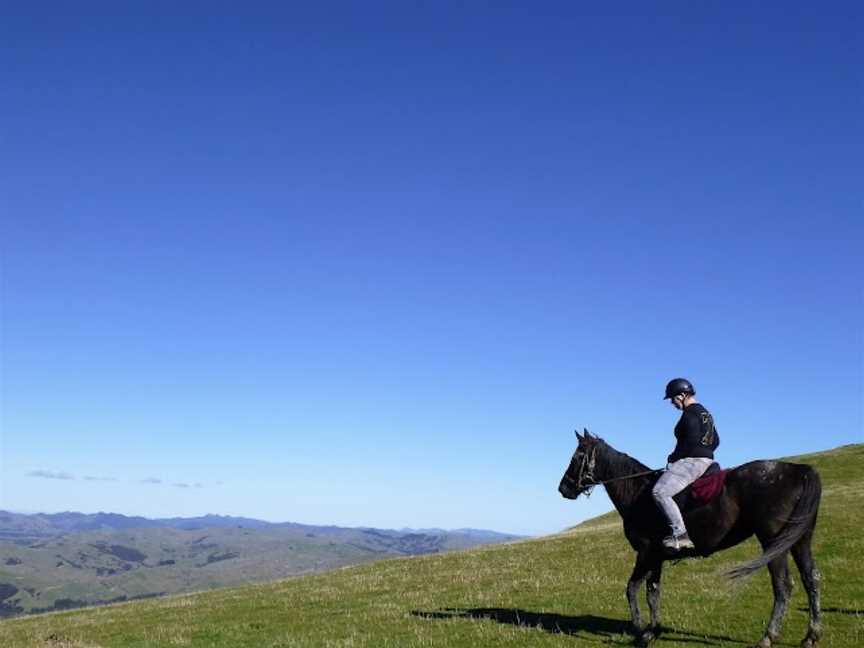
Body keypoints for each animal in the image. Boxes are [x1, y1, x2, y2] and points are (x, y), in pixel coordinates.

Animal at [556, 430, 820, 648]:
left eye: (578, 456)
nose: (563, 489)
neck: (638, 492)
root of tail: (798, 470)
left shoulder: (645, 553)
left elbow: (631, 589)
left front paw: (640, 632)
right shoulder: (657, 558)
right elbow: (653, 593)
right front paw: (653, 631)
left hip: (774, 544)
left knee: (783, 585)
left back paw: (768, 637)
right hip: (800, 540)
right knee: (811, 578)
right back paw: (811, 636)